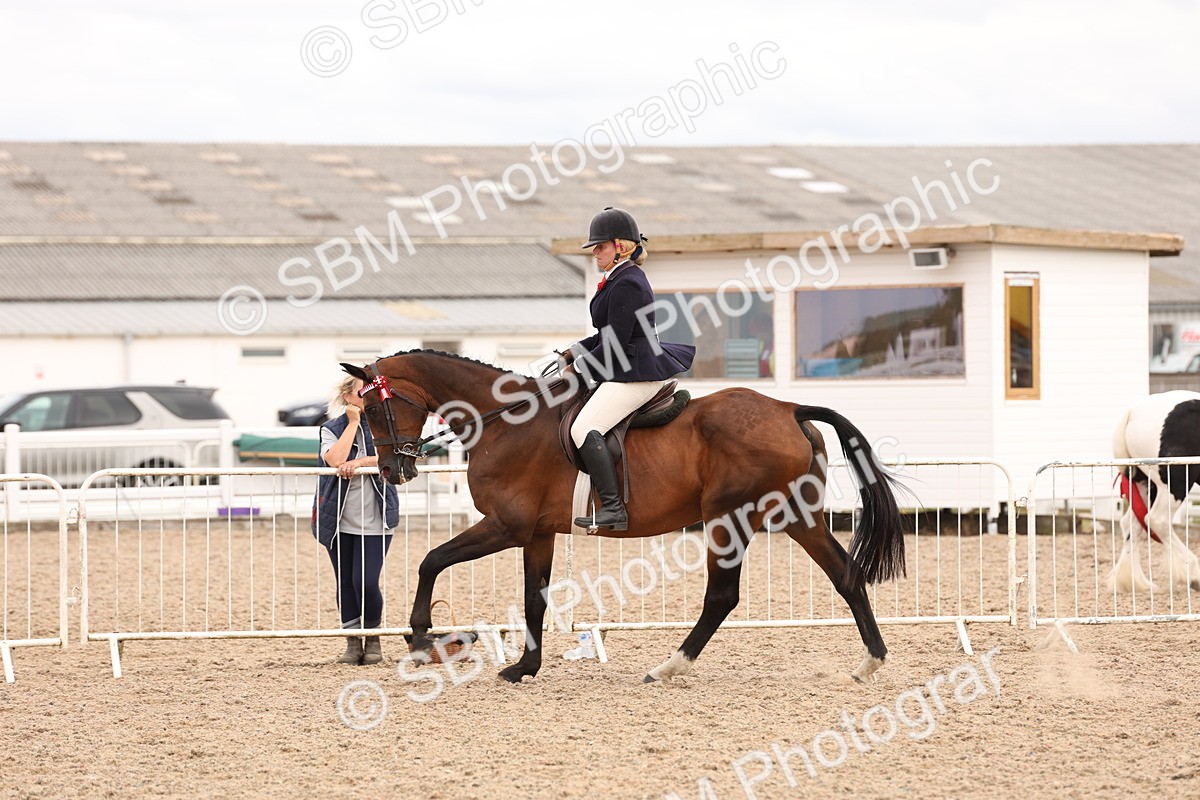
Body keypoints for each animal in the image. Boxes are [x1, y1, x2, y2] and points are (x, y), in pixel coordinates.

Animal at [342, 350, 907, 683]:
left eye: (371, 411)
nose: (393, 470)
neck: (504, 421)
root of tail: (789, 409)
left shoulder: (507, 526)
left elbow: (430, 561)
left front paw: (422, 638)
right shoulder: (537, 533)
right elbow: (533, 597)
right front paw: (525, 667)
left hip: (728, 518)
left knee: (723, 596)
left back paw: (669, 666)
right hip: (796, 515)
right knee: (846, 575)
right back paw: (871, 662)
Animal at [1111, 390, 1200, 592]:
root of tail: (1133, 412)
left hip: (1146, 484)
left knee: (1131, 525)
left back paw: (1134, 581)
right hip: (1175, 482)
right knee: (1158, 520)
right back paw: (1193, 573)